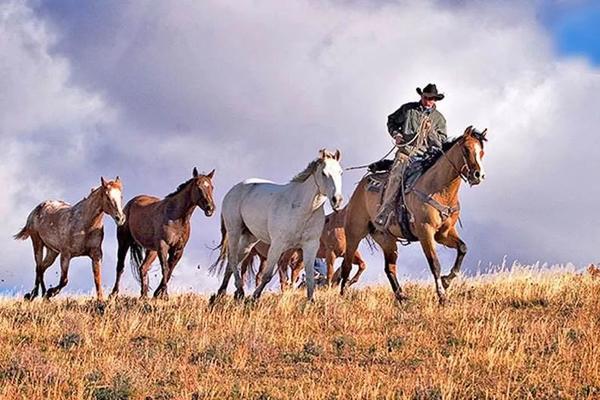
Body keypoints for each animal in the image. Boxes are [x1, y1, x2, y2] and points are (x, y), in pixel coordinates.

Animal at [110, 167, 216, 298]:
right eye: (198, 187)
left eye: (211, 187)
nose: (210, 208)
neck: (176, 217)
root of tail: (131, 203)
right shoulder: (163, 246)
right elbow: (165, 269)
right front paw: (164, 295)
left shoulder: (178, 250)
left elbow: (170, 270)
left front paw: (158, 293)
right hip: (124, 241)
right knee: (120, 267)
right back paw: (114, 293)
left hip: (152, 250)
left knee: (143, 268)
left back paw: (143, 295)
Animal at [211, 148, 342, 302]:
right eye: (324, 173)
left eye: (340, 172)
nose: (337, 200)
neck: (302, 208)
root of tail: (233, 189)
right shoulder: (277, 245)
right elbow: (267, 276)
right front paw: (254, 298)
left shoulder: (310, 246)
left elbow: (310, 278)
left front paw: (311, 302)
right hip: (234, 231)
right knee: (232, 260)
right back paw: (239, 292)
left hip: (249, 240)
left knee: (232, 263)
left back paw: (222, 293)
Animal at [338, 126, 488, 304]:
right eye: (466, 149)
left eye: (482, 152)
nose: (478, 175)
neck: (439, 189)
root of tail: (360, 187)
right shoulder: (425, 231)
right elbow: (435, 264)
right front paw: (442, 296)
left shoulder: (444, 233)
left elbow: (463, 248)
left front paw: (447, 280)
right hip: (354, 232)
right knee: (347, 264)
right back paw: (343, 295)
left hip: (386, 239)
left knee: (389, 268)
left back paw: (402, 298)